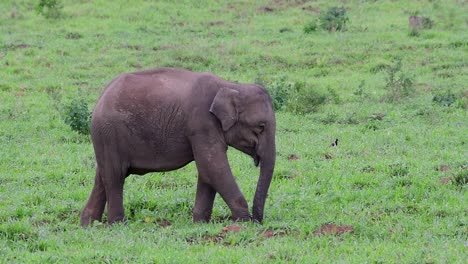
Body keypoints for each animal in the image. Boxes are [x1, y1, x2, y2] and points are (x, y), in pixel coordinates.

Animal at [81, 67, 276, 226]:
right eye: (261, 127)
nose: (258, 221)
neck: (230, 85)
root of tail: (101, 96)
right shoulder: (202, 124)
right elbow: (213, 167)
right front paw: (243, 222)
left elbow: (207, 171)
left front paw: (200, 223)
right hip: (109, 132)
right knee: (115, 176)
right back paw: (118, 224)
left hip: (106, 138)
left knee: (102, 177)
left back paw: (89, 224)